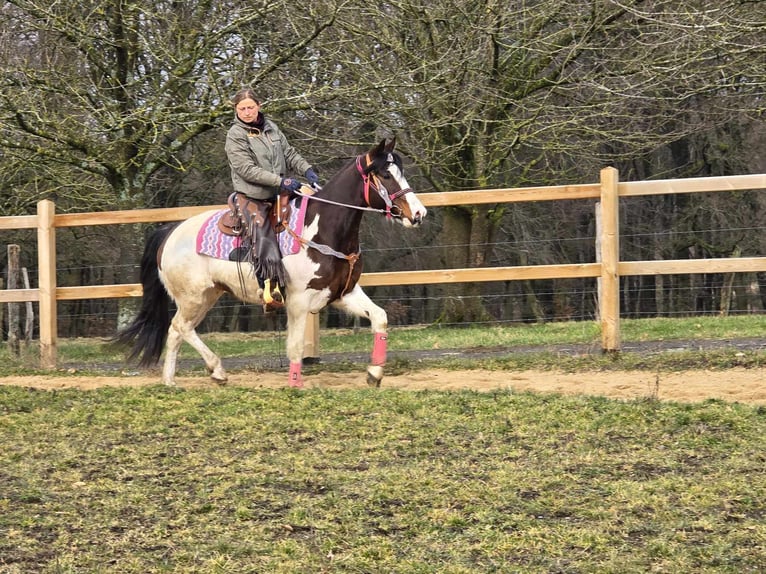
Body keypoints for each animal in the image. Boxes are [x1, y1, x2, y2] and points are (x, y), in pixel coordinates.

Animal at [115, 140, 428, 390]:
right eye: (386, 174)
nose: (419, 214)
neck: (322, 229)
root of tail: (169, 232)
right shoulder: (298, 301)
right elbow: (295, 346)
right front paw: (295, 383)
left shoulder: (342, 293)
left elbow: (380, 318)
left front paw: (374, 373)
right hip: (192, 297)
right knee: (180, 327)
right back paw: (214, 370)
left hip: (208, 295)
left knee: (177, 331)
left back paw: (173, 380)